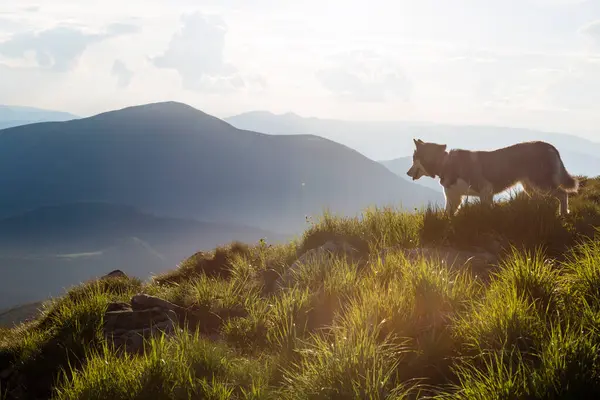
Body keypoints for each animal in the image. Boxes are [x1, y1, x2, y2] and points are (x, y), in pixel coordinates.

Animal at [406, 139, 580, 217]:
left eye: (414, 159)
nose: (407, 173)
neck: (444, 163)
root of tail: (549, 145)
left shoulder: (485, 190)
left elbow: (486, 211)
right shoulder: (454, 197)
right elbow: (448, 214)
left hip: (541, 183)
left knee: (563, 194)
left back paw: (563, 213)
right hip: (530, 186)